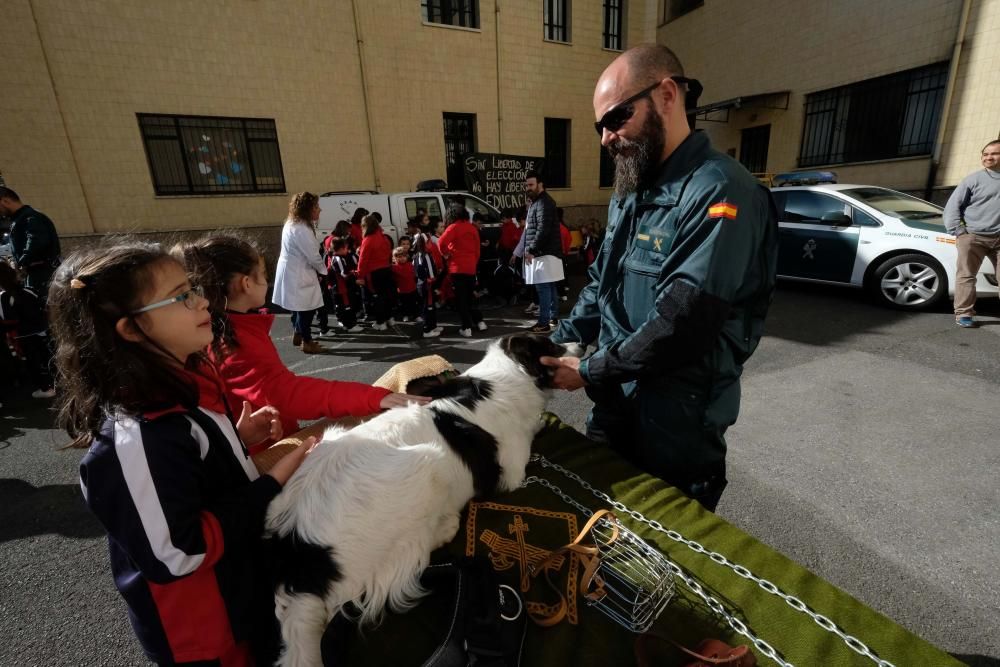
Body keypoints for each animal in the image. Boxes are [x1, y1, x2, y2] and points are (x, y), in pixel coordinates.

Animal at [266, 336, 584, 664]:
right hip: (428, 463)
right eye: (552, 346)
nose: (582, 345)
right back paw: (446, 527)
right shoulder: (513, 469)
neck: (506, 374)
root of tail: (298, 551)